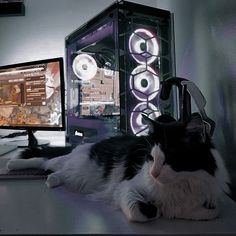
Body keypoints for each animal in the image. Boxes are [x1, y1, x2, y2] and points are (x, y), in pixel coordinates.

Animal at [6, 112, 230, 221]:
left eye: (171, 157)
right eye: (151, 157)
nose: (154, 173)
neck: (179, 185)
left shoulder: (210, 201)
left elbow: (209, 211)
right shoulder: (128, 186)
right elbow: (141, 213)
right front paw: (156, 209)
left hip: (75, 170)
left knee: (55, 169)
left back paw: (52, 180)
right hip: (76, 163)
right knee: (45, 160)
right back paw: (12, 163)